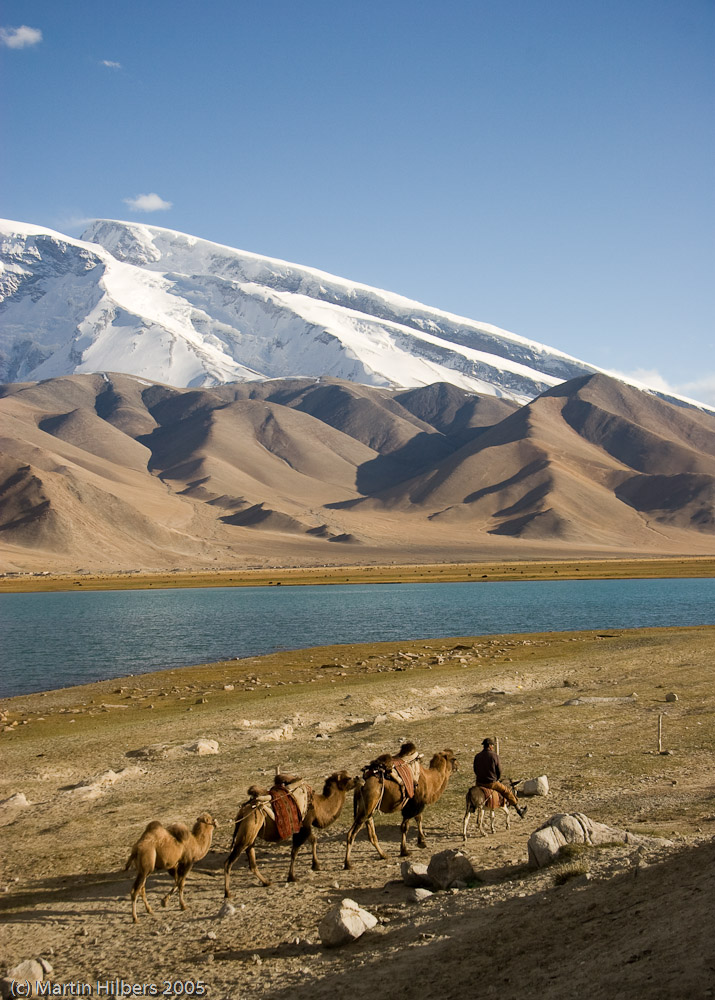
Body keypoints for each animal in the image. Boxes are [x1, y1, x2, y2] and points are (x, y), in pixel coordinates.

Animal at [223, 770, 359, 897]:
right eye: (348, 778)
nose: (359, 779)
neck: (317, 805)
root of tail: (242, 812)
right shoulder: (304, 826)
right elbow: (295, 851)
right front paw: (292, 877)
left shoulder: (303, 827)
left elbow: (313, 840)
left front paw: (316, 865)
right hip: (247, 832)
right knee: (228, 862)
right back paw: (228, 893)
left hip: (251, 835)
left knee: (251, 863)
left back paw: (266, 882)